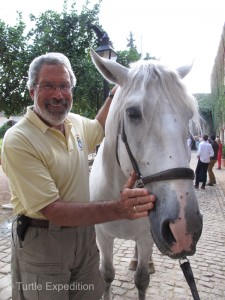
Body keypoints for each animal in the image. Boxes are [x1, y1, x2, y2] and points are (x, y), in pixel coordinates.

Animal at [89, 49, 203, 300]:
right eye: (132, 113)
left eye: (188, 114)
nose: (184, 227)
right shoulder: (102, 236)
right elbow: (106, 274)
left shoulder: (146, 237)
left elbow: (141, 279)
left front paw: (143, 268)